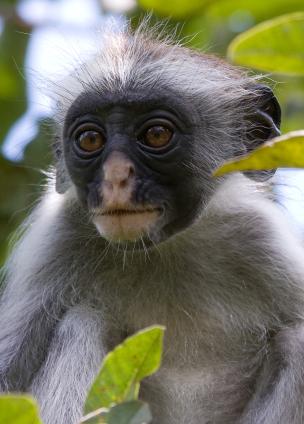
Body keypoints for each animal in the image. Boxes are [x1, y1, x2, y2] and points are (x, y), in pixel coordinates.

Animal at [0, 22, 304, 424]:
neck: (164, 248)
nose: (115, 178)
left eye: (156, 134)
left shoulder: (263, 243)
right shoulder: (56, 240)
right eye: (90, 139)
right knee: (84, 320)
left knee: (297, 342)